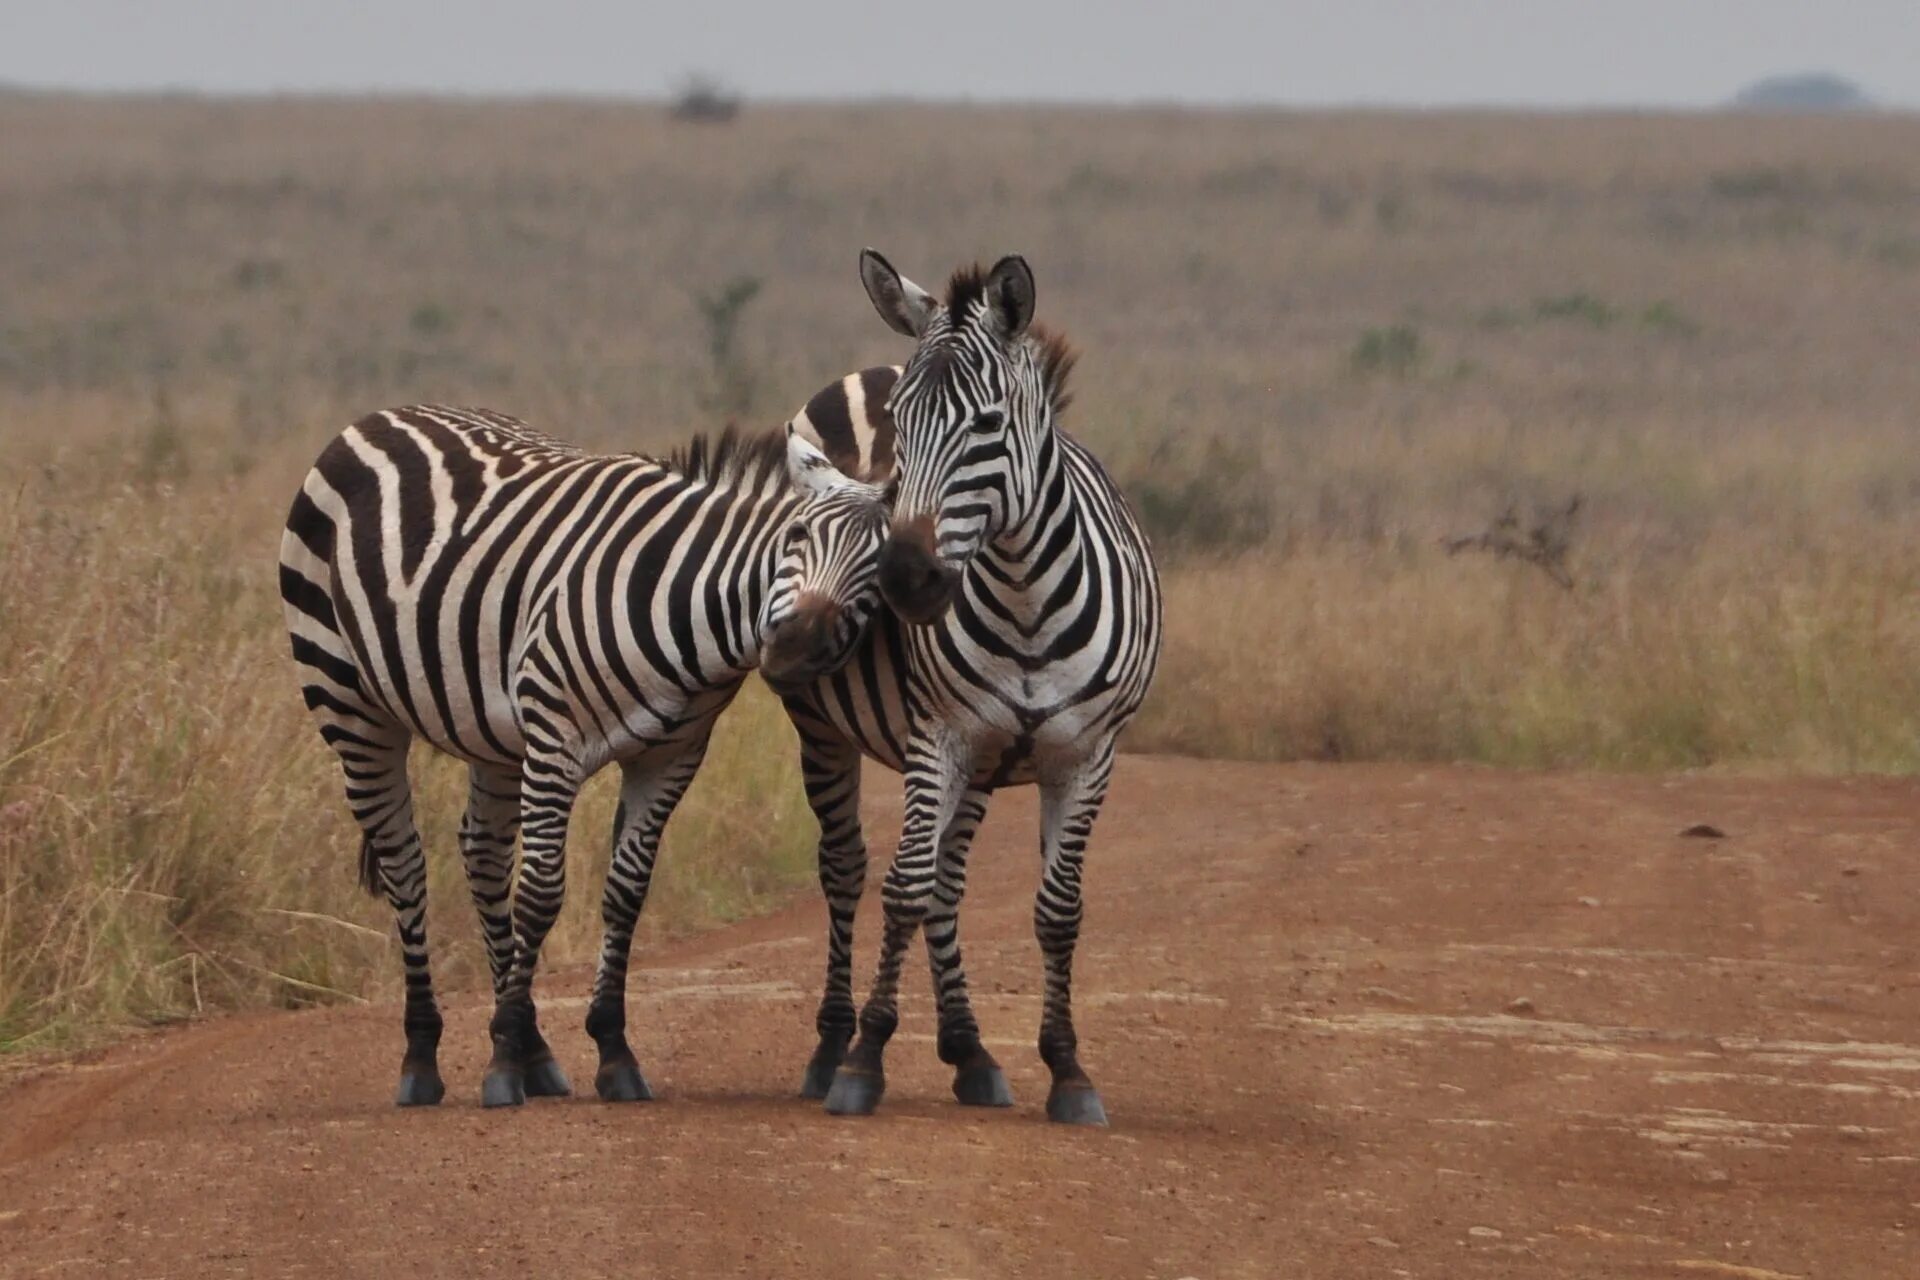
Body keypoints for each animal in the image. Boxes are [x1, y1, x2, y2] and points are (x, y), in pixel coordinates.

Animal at [276, 404, 883, 1105]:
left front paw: (608, 1049)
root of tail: (382, 415)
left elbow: (626, 891)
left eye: (882, 575)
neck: (689, 604)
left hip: (492, 735)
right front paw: (503, 1058)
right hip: (349, 702)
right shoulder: (553, 735)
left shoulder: (670, 756)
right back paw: (423, 1056)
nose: (791, 649)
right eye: (797, 538)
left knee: (483, 856)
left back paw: (536, 1052)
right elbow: (541, 892)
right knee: (405, 864)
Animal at [783, 255, 1167, 1128]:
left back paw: (970, 1052)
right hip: (822, 727)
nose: (906, 580)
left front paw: (1067, 1070)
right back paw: (829, 1048)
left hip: (987, 765)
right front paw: (863, 1062)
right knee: (846, 870)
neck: (1025, 596)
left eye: (989, 425)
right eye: (902, 423)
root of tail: (869, 365)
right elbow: (902, 889)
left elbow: (1057, 911)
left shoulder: (1086, 757)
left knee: (949, 888)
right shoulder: (941, 738)